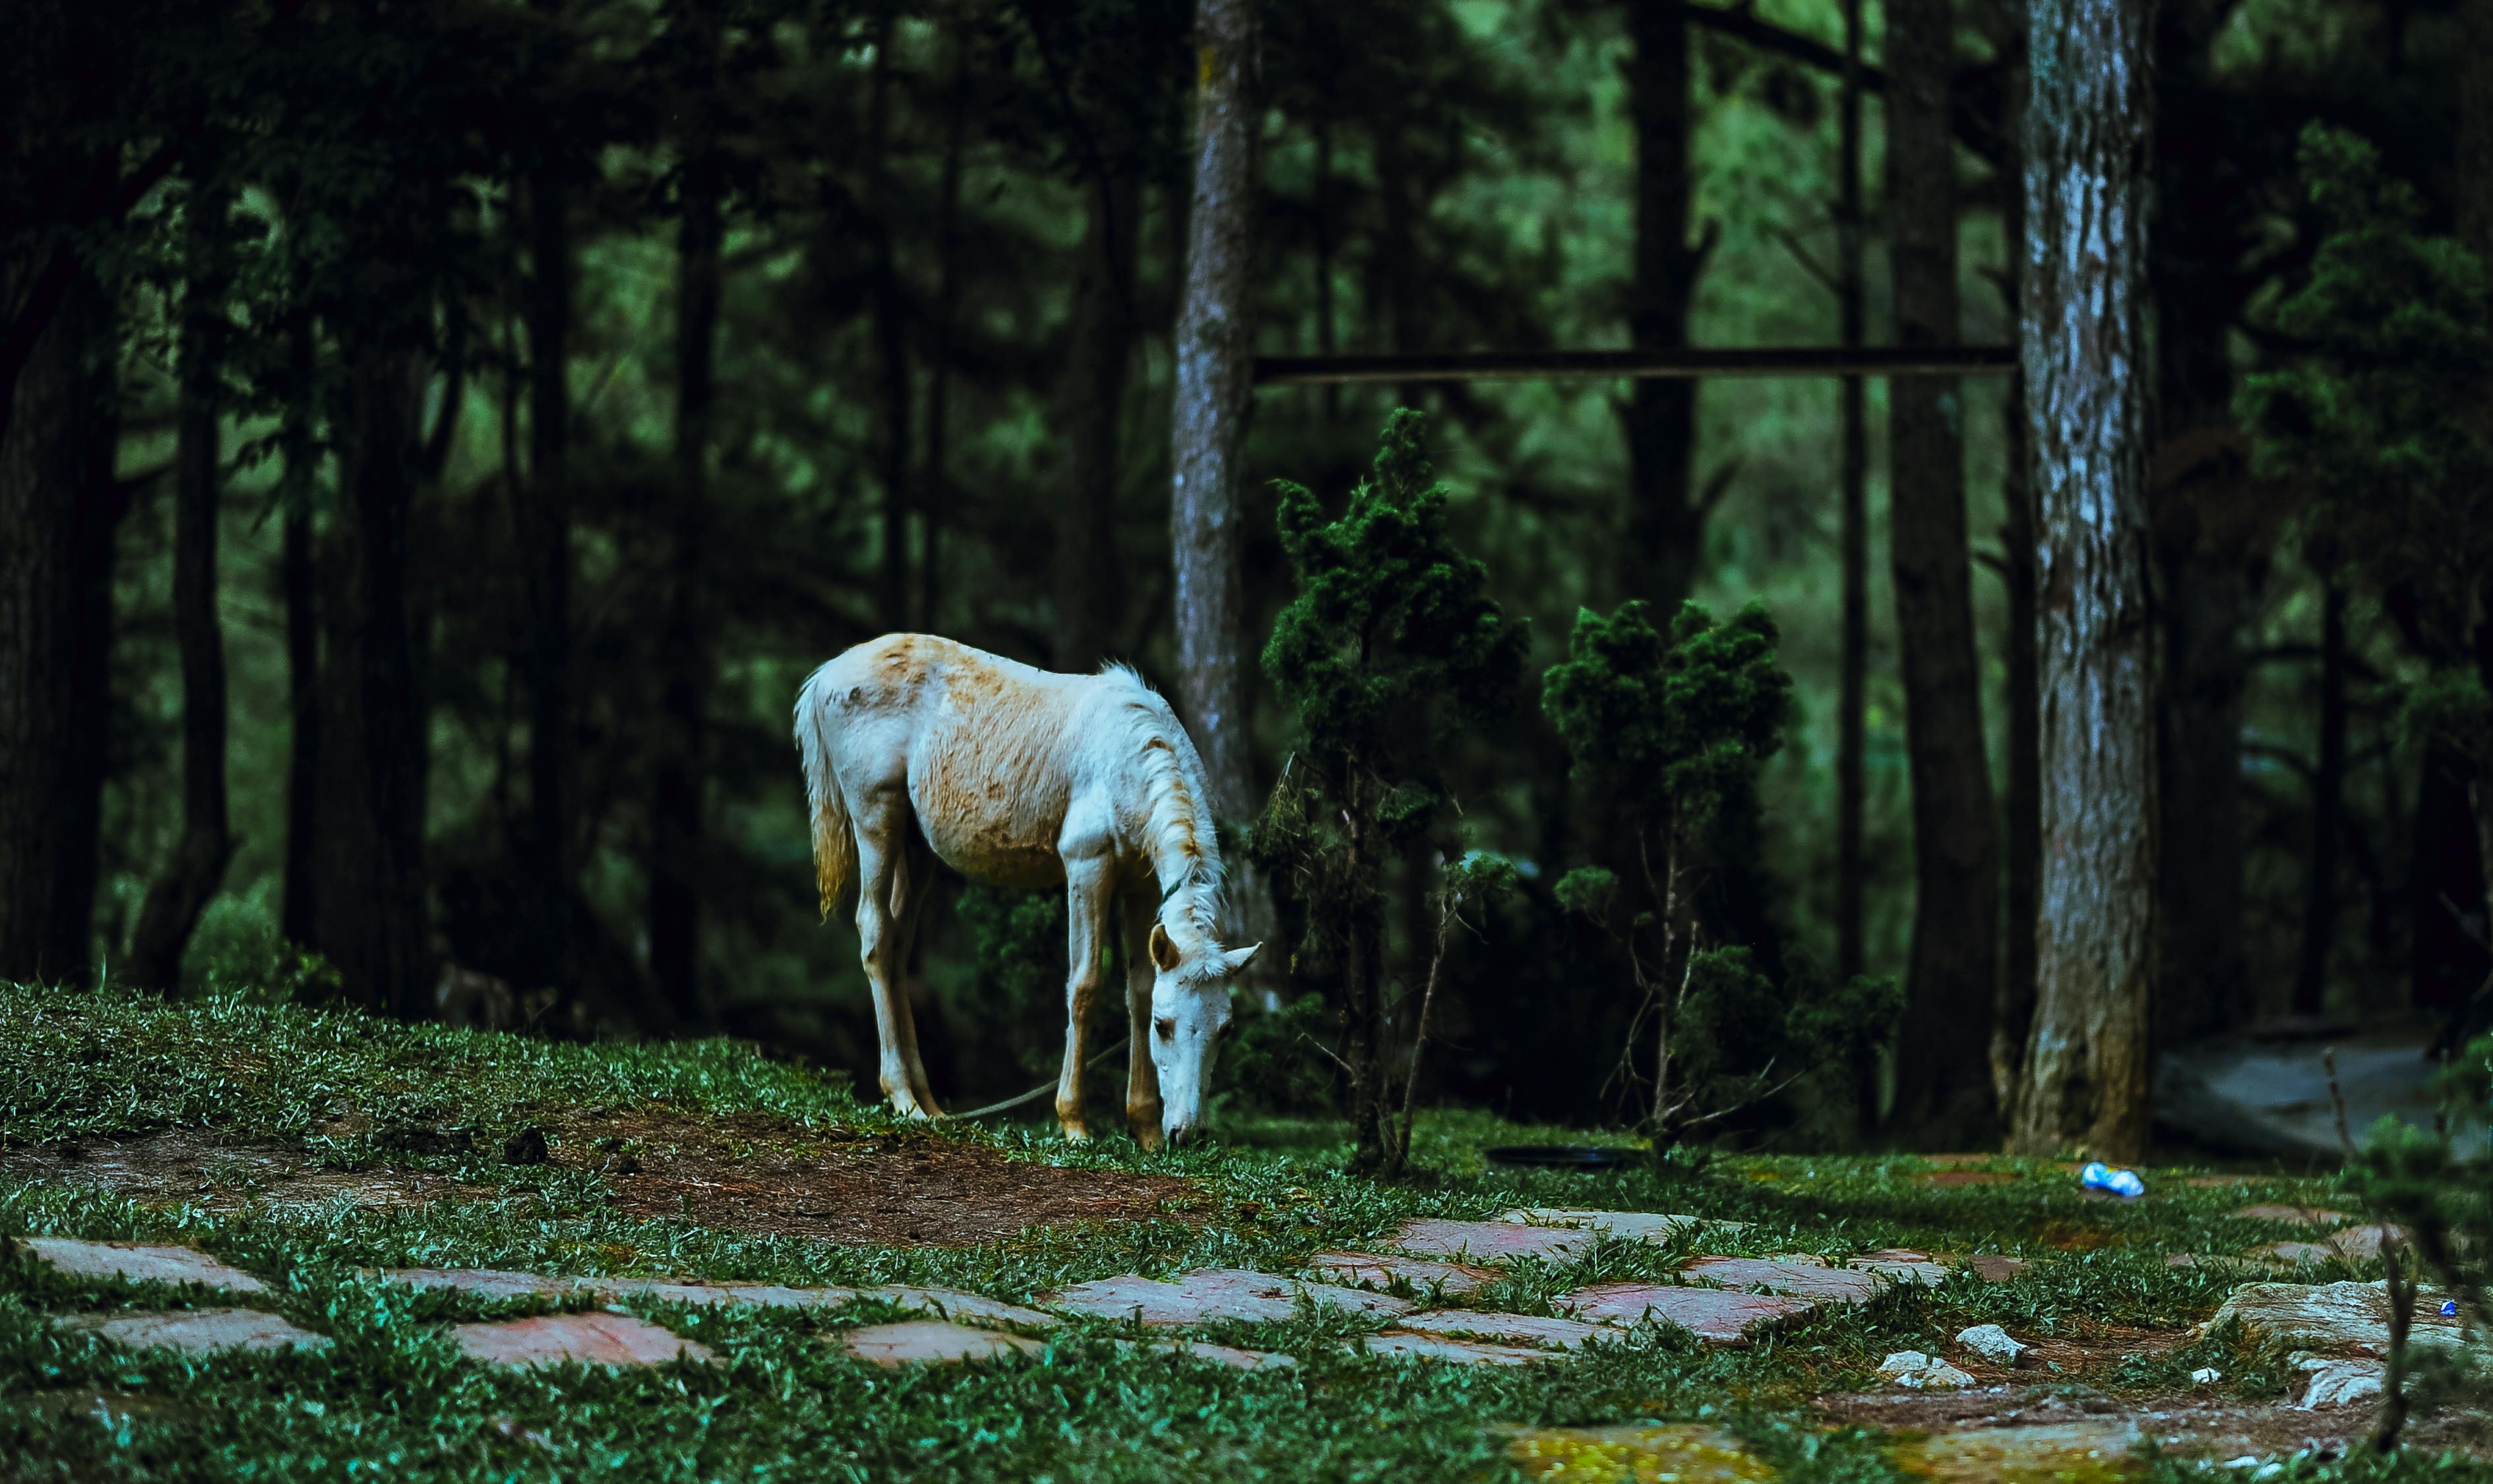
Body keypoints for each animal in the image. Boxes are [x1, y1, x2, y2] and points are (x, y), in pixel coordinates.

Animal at [797, 631, 1256, 1147]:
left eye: (1226, 1029)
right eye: (1166, 1026)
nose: (1187, 1134)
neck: (1130, 760)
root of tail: (826, 675)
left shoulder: (1139, 888)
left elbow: (1137, 990)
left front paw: (1144, 1129)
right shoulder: (1087, 868)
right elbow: (1085, 986)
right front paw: (1073, 1122)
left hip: (917, 849)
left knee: (898, 945)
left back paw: (930, 1105)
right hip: (877, 817)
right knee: (874, 934)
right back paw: (902, 1098)